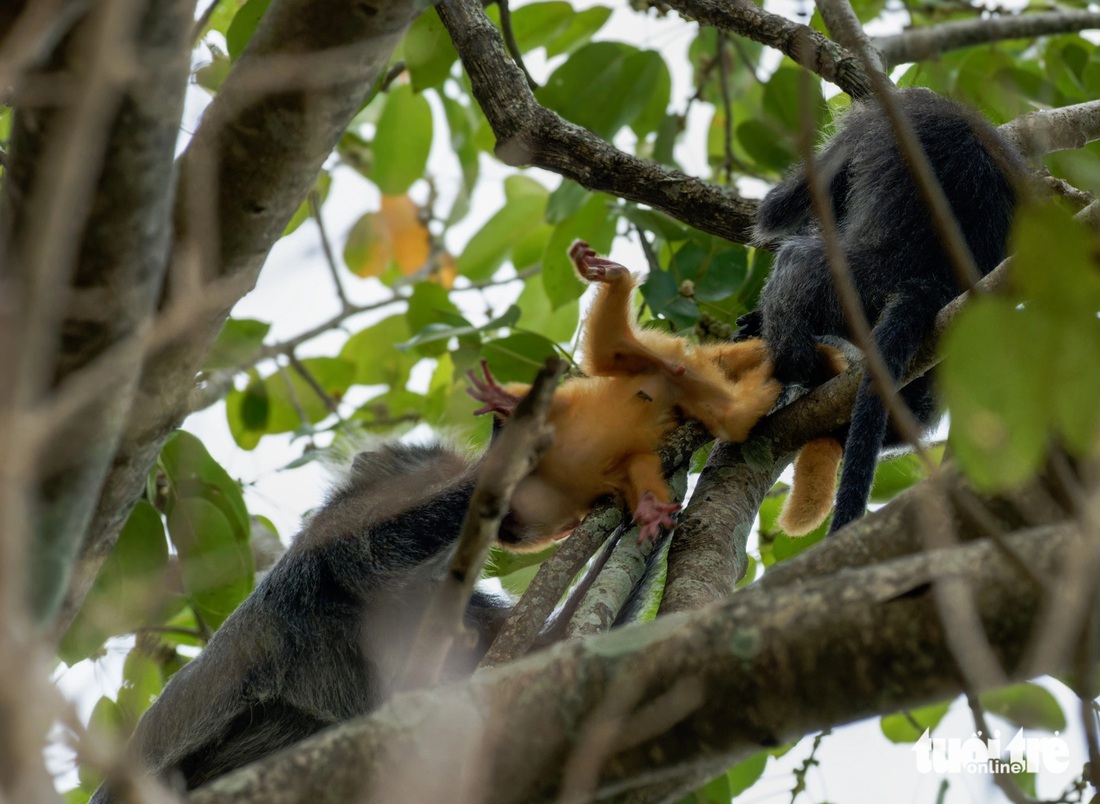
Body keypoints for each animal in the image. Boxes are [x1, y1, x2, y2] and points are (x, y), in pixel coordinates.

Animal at [464, 241, 783, 549]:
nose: (506, 523)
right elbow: (639, 464)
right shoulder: (600, 487)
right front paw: (650, 509)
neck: (558, 480)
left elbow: (555, 405)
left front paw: (501, 399)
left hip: (651, 352)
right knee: (729, 416)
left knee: (604, 355)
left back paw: (615, 276)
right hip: (683, 378)